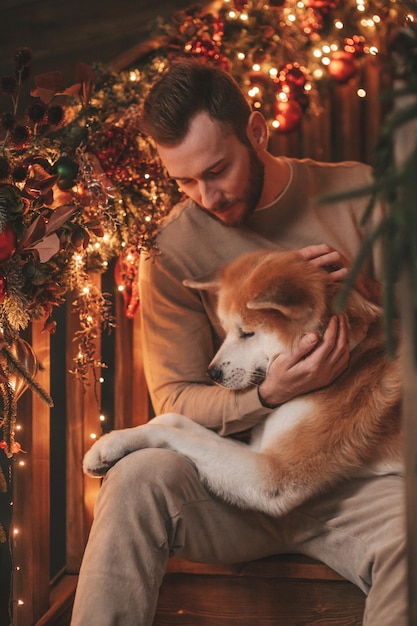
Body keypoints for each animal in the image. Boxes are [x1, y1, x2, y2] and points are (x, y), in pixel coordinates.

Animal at [83, 251, 402, 516]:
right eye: (225, 329)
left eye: (247, 333)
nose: (211, 373)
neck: (352, 354)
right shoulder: (257, 450)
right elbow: (173, 420)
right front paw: (122, 437)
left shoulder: (271, 475)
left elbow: (171, 433)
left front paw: (111, 442)